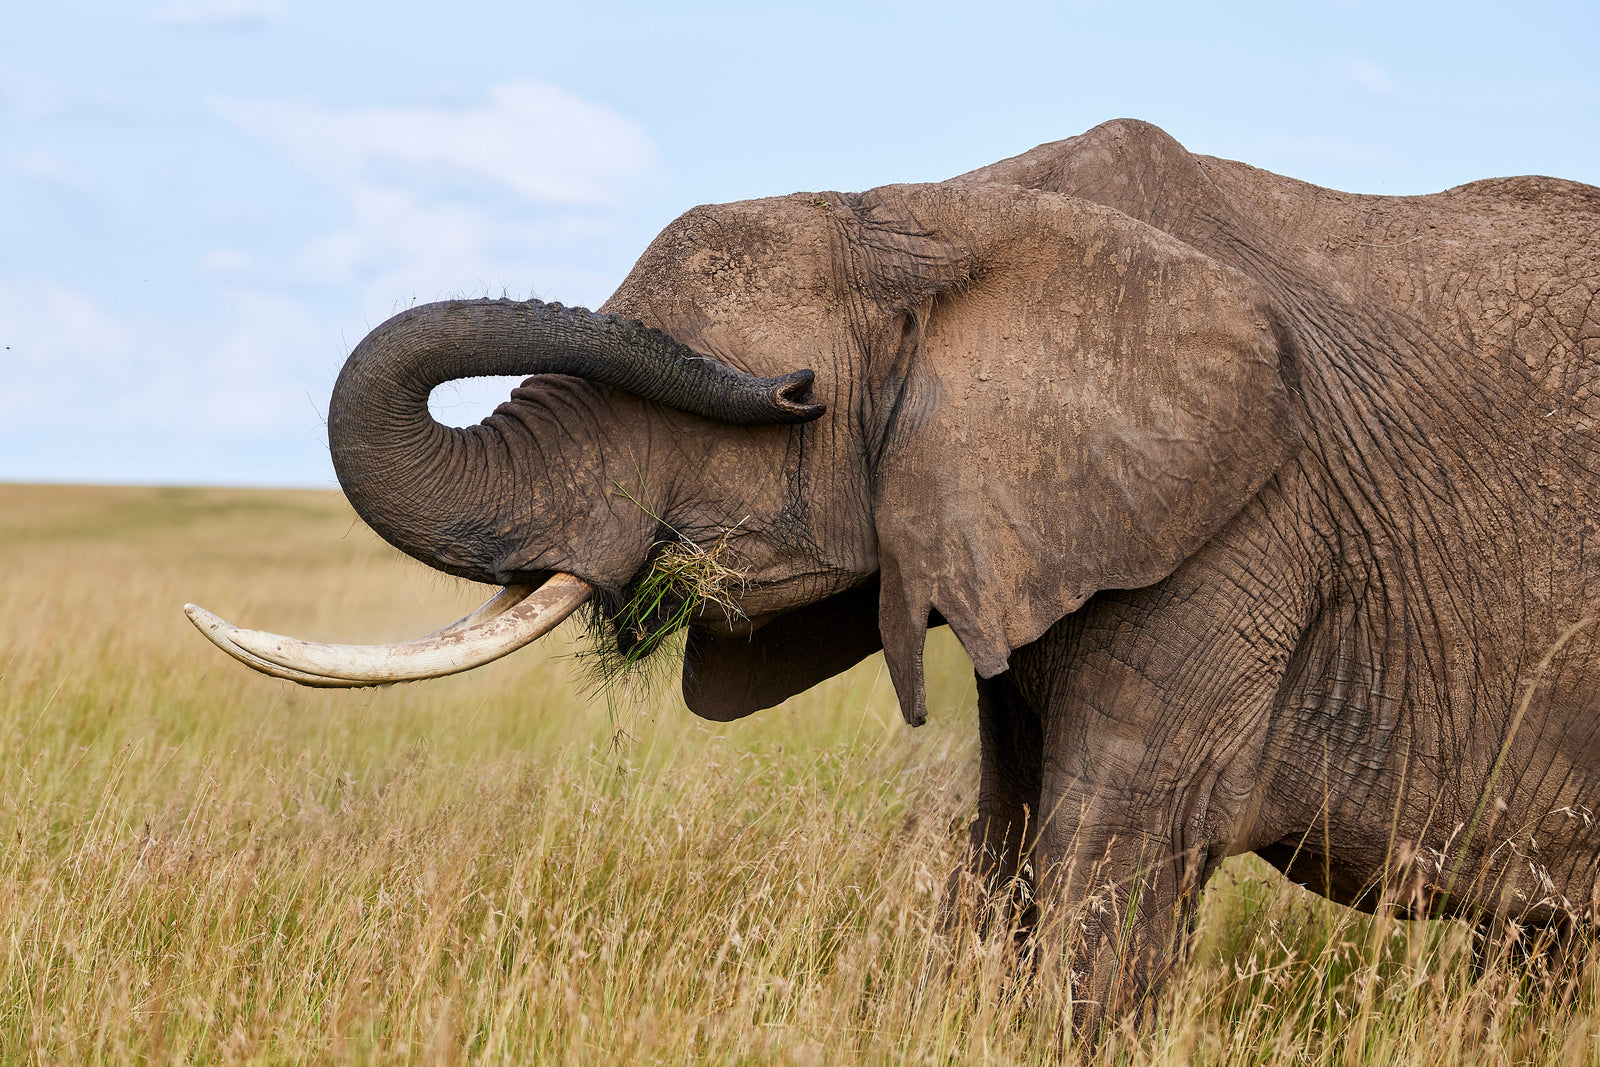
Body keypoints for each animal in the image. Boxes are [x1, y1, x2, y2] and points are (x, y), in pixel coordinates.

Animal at [188, 118, 1600, 1024]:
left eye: (780, 399)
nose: (786, 387)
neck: (935, 209)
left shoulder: (1244, 525)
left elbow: (1109, 857)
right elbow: (1005, 846)